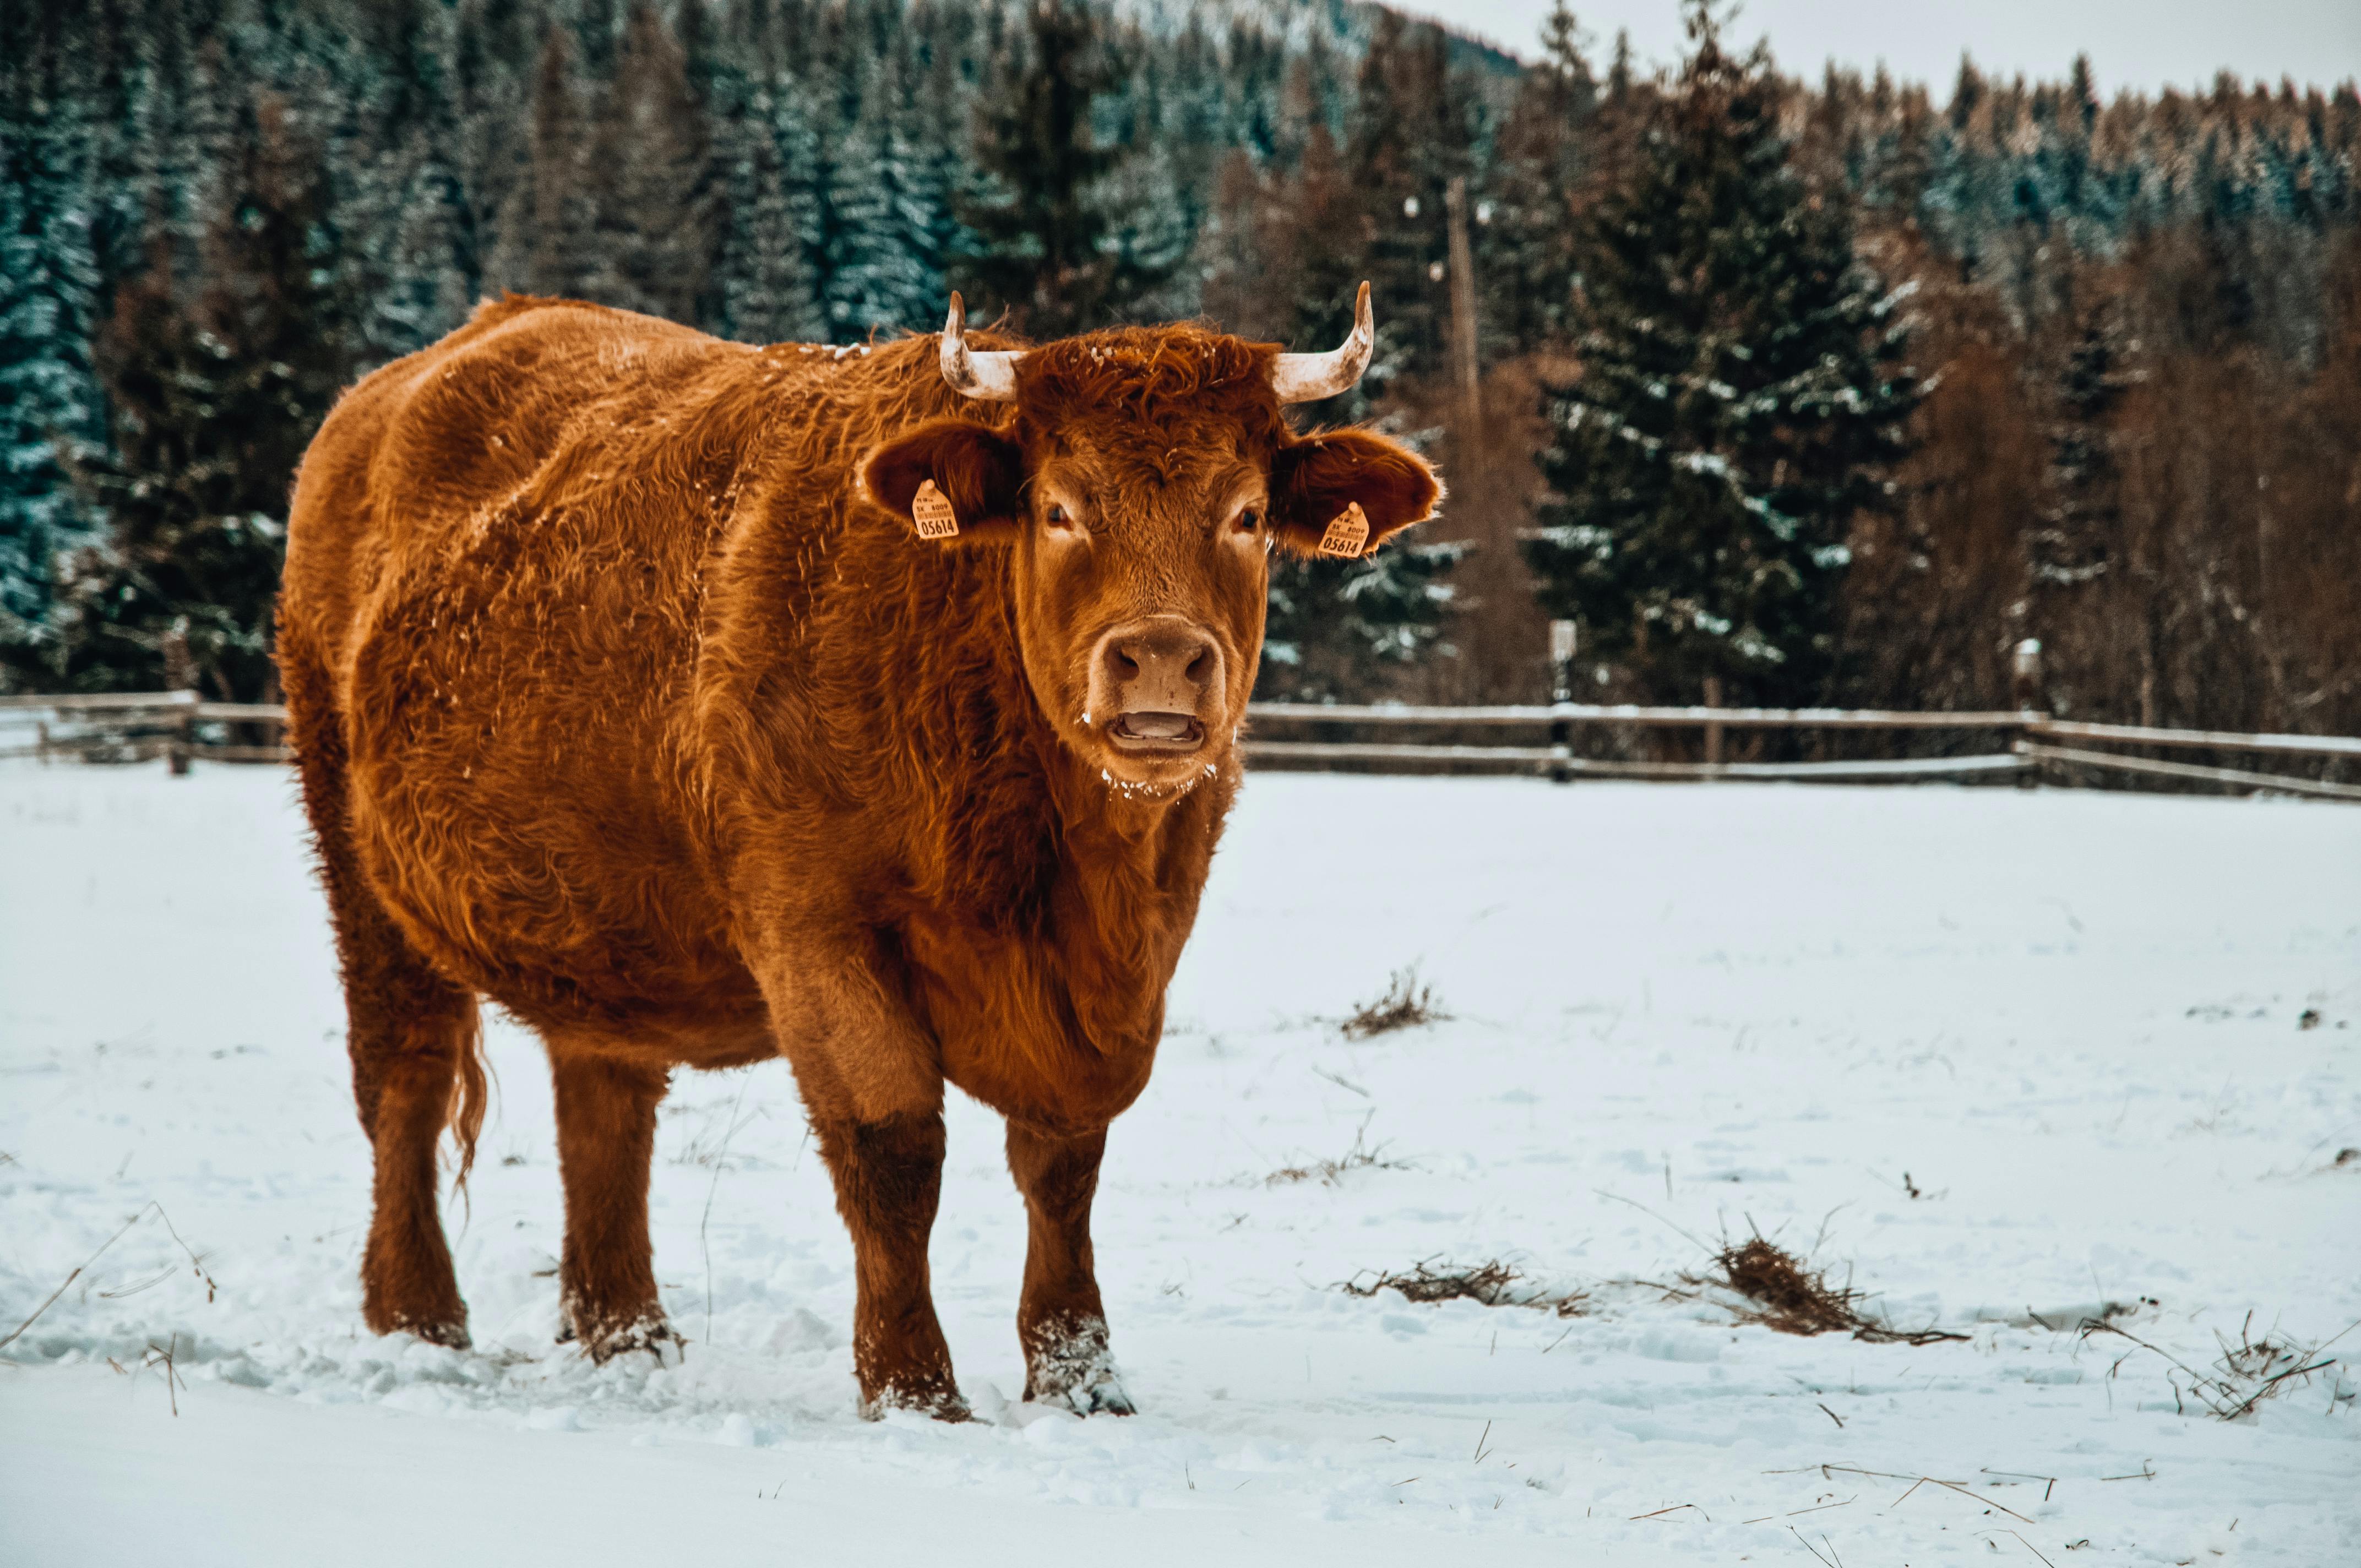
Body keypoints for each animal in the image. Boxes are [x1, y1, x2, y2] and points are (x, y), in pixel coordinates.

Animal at [277, 285, 1440, 1419]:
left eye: (1244, 513)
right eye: (1059, 506)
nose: (1157, 658)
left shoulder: (1122, 975)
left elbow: (1063, 1162)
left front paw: (1079, 1376)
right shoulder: (818, 932)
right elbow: (894, 1152)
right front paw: (914, 1385)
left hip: (597, 916)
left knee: (605, 1107)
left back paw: (627, 1333)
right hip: (357, 865)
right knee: (405, 1080)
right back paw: (419, 1318)